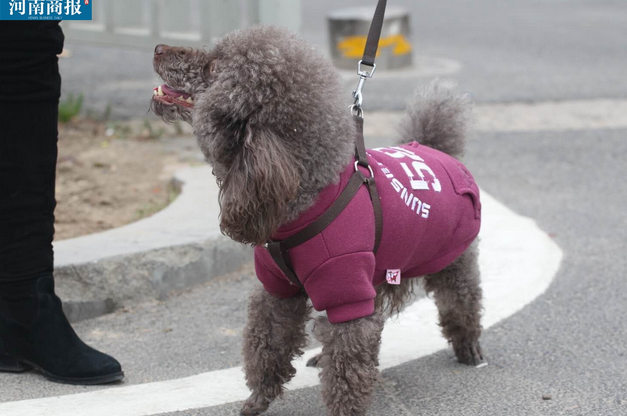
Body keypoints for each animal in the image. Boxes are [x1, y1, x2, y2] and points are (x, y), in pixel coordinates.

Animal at [152, 26, 486, 416]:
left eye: (214, 67)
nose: (159, 49)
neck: (303, 199)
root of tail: (433, 147)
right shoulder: (278, 288)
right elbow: (267, 344)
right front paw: (258, 399)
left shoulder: (346, 292)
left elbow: (347, 366)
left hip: (453, 259)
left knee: (462, 299)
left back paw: (468, 346)